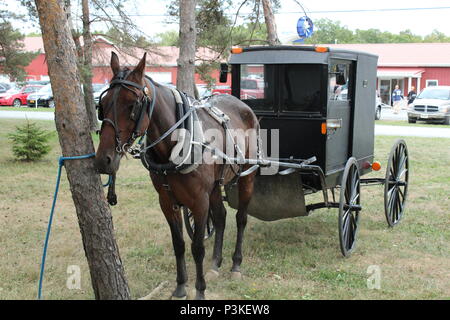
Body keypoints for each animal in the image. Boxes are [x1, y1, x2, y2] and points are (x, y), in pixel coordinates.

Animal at [93, 52, 258, 300]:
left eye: (132, 105)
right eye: (102, 105)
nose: (104, 160)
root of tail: (242, 104)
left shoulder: (199, 202)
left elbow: (197, 248)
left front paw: (199, 291)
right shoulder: (167, 200)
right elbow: (178, 243)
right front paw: (180, 287)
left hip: (247, 177)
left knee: (241, 218)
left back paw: (236, 265)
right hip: (214, 187)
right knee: (220, 217)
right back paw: (215, 265)